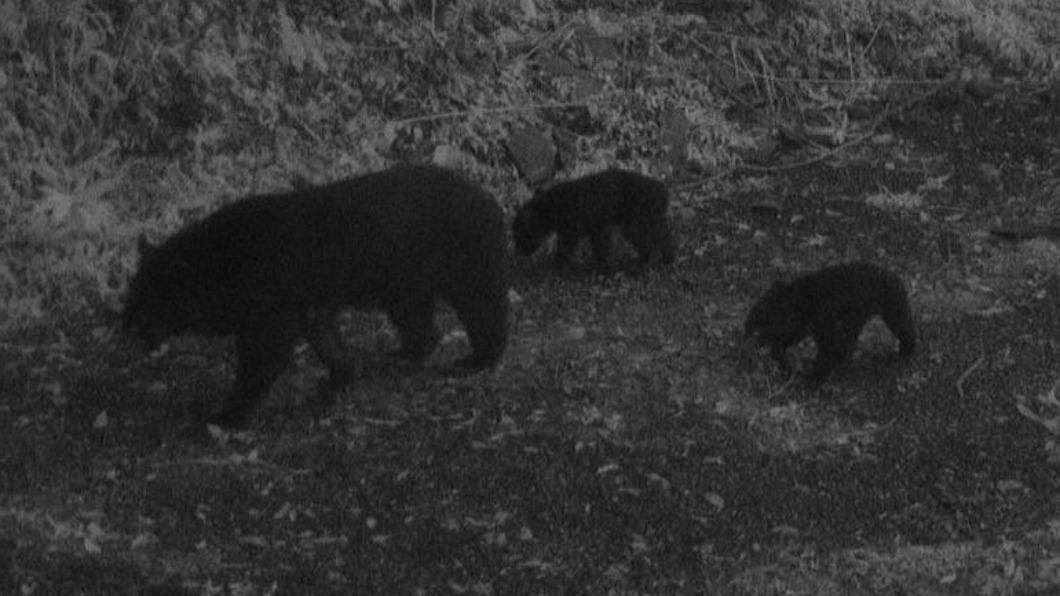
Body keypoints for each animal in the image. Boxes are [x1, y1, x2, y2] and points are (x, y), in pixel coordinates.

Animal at [123, 164, 510, 428]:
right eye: (133, 293)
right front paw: (337, 378)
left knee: (482, 308)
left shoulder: (271, 302)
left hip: (464, 262)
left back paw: (477, 359)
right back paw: (400, 356)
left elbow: (263, 357)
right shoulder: (308, 304)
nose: (126, 327)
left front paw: (222, 417)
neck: (226, 265)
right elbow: (325, 337)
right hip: (405, 282)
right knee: (419, 322)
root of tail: (490, 199)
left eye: (149, 300)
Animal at [511, 169, 676, 271]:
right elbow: (599, 248)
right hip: (637, 224)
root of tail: (662, 191)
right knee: (652, 242)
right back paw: (644, 259)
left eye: (521, 234)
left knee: (663, 239)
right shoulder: (595, 229)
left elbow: (566, 250)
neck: (552, 206)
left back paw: (666, 259)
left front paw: (558, 265)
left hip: (640, 223)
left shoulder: (572, 232)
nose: (518, 252)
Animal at [744, 262, 916, 382]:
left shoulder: (819, 320)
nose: (749, 332)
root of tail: (894, 277)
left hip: (892, 306)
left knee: (903, 328)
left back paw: (905, 351)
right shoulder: (800, 325)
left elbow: (826, 345)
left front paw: (814, 378)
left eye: (764, 317)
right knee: (850, 335)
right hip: (860, 315)